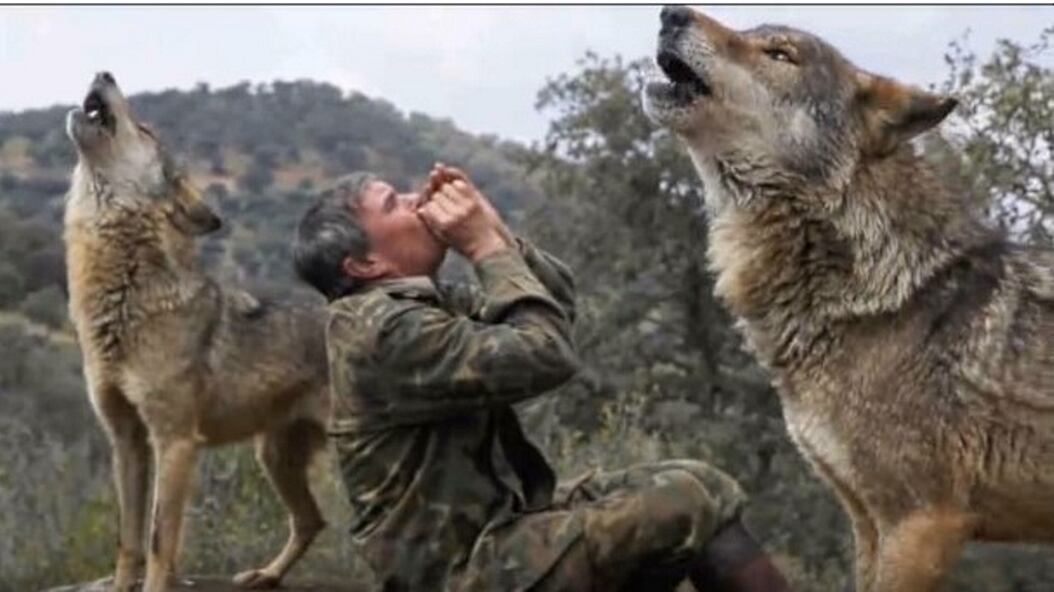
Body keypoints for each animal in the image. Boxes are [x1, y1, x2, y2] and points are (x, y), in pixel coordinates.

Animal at [64, 72, 331, 592]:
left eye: (146, 130)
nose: (105, 73)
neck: (125, 298)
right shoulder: (126, 440)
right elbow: (128, 539)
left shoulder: (176, 442)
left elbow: (158, 542)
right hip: (273, 458)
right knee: (312, 521)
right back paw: (265, 575)